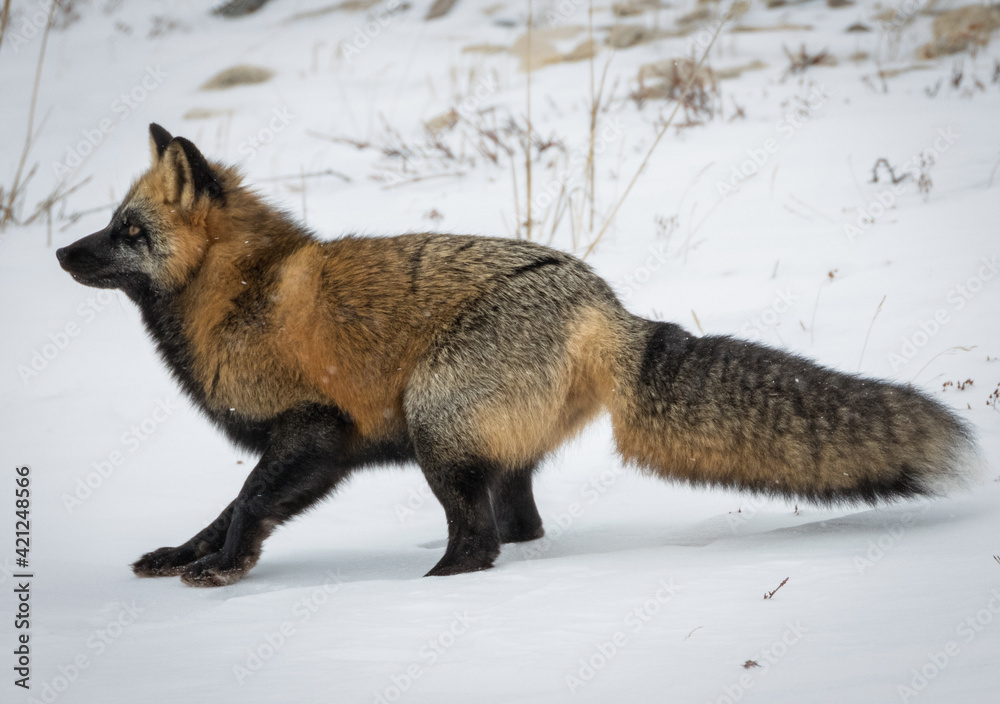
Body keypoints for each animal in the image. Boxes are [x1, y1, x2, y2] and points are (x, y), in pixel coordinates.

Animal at [56, 124, 977, 587]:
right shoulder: (310, 443)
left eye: (127, 231)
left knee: (482, 541)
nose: (60, 253)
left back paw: (438, 582)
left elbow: (248, 503)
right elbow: (220, 509)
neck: (240, 295)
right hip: (480, 443)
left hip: (432, 424)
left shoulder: (319, 430)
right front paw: (185, 555)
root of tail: (605, 303)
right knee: (523, 524)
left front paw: (222, 568)